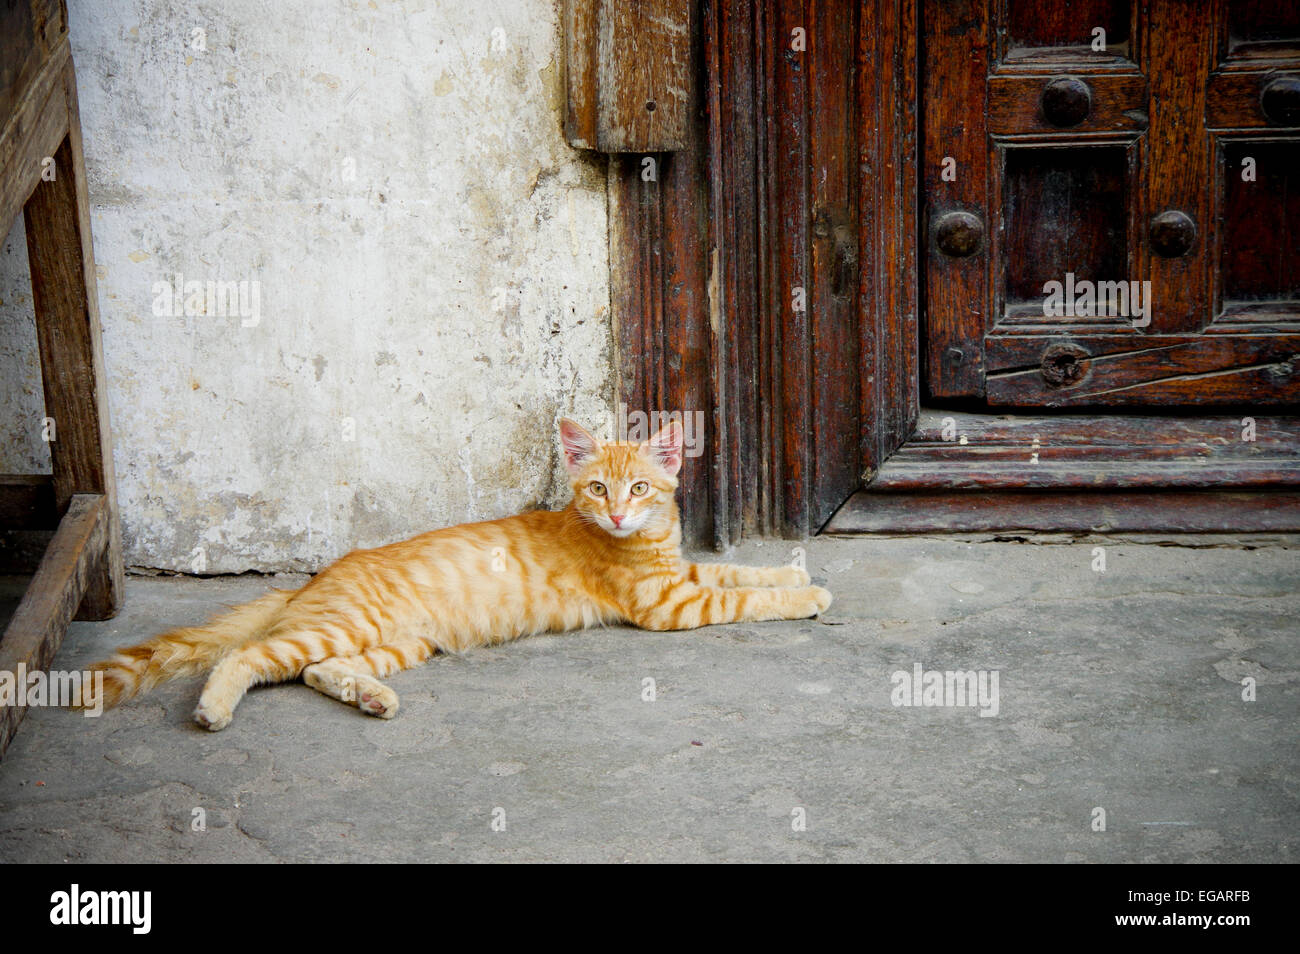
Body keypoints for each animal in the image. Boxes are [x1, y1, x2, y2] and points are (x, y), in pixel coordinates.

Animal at [81, 421, 832, 733]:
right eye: (597, 490)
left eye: (641, 488)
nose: (618, 513)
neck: (648, 540)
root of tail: (310, 581)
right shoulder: (668, 604)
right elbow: (743, 599)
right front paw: (807, 596)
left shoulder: (684, 572)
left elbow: (740, 571)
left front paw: (797, 574)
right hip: (344, 626)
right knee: (246, 656)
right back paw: (214, 708)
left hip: (397, 642)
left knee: (313, 671)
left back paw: (370, 697)